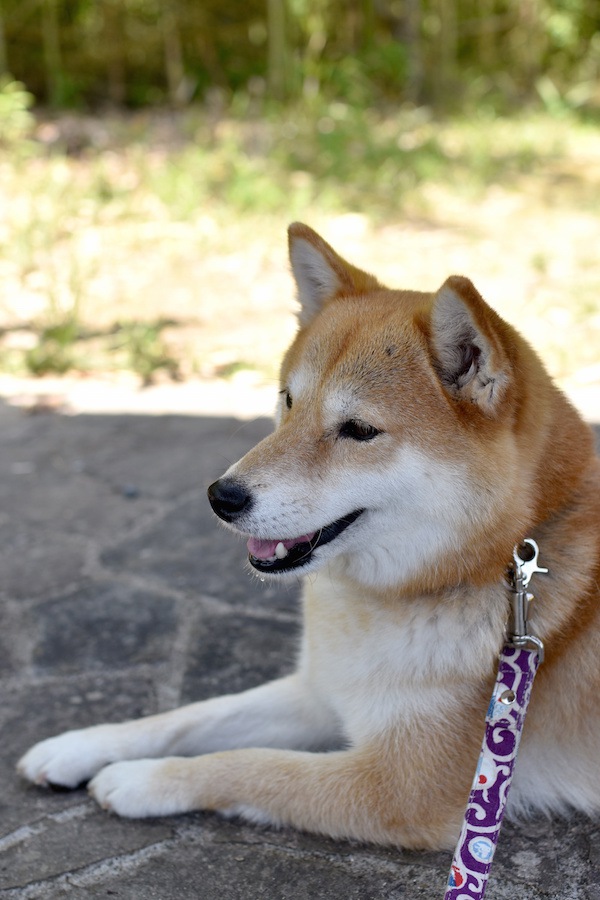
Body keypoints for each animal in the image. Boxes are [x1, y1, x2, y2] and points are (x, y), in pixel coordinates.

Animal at [17, 221, 600, 848]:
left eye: (359, 431)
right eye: (289, 400)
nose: (221, 497)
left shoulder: (403, 787)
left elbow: (249, 764)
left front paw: (139, 779)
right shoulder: (322, 690)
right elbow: (192, 716)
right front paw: (81, 745)